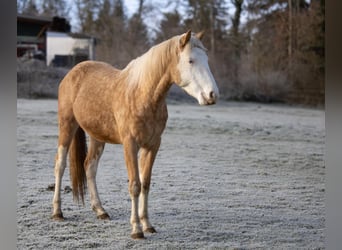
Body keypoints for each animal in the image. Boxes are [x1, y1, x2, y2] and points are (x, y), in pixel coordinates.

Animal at [51, 30, 219, 239]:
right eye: (190, 60)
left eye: (207, 59)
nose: (212, 95)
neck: (143, 95)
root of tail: (73, 73)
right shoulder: (130, 145)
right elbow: (135, 186)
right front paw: (136, 229)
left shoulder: (152, 146)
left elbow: (145, 184)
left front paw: (147, 225)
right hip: (67, 126)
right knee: (60, 165)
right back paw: (57, 212)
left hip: (97, 136)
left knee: (89, 167)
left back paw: (100, 210)